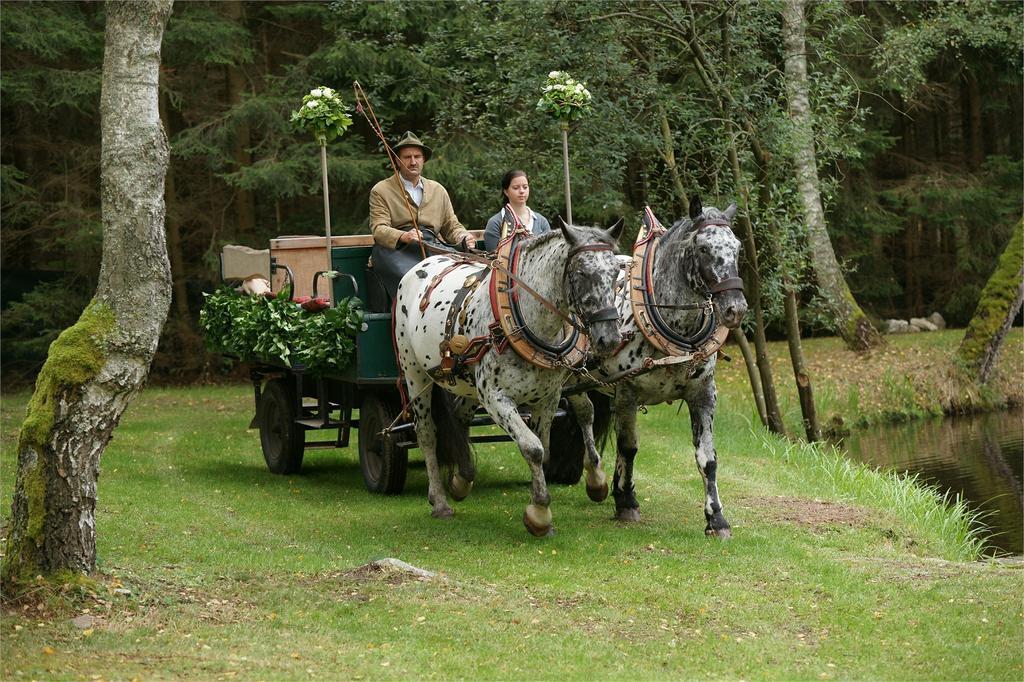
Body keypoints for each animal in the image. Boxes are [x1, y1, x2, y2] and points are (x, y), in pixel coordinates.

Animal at [395, 220, 622, 532]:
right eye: (582, 273)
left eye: (616, 273)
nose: (609, 339)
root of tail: (421, 263)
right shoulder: (496, 398)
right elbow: (533, 448)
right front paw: (539, 513)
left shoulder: (548, 398)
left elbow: (545, 448)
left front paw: (542, 501)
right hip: (415, 373)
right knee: (427, 433)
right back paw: (440, 501)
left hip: (468, 383)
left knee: (460, 416)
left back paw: (462, 478)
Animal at [569, 196, 745, 536]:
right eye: (704, 249)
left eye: (738, 247)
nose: (736, 309)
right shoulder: (627, 392)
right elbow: (628, 447)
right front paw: (626, 502)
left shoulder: (703, 394)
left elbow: (708, 458)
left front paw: (716, 518)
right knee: (584, 414)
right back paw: (595, 478)